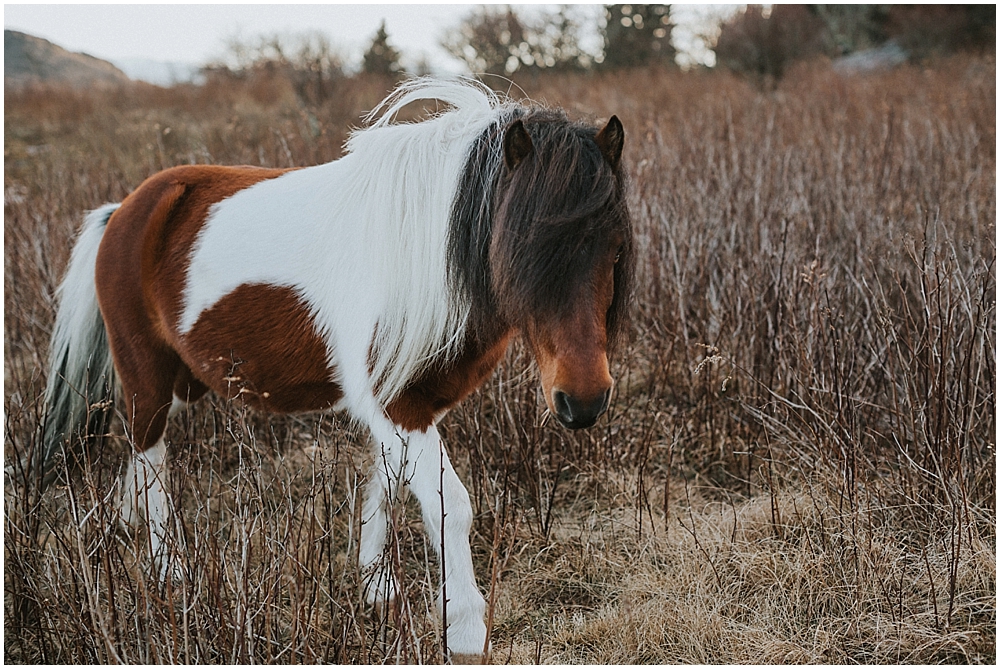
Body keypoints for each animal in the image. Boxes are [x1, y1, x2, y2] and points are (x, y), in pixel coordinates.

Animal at [39, 78, 636, 656]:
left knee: (142, 454)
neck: (422, 255)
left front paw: (377, 589)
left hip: (184, 383)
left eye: (614, 249)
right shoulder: (398, 405)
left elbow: (388, 485)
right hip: (147, 375)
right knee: (152, 456)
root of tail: (124, 209)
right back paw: (169, 571)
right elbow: (450, 507)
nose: (583, 401)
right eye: (522, 248)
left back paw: (129, 527)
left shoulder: (408, 406)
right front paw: (465, 633)